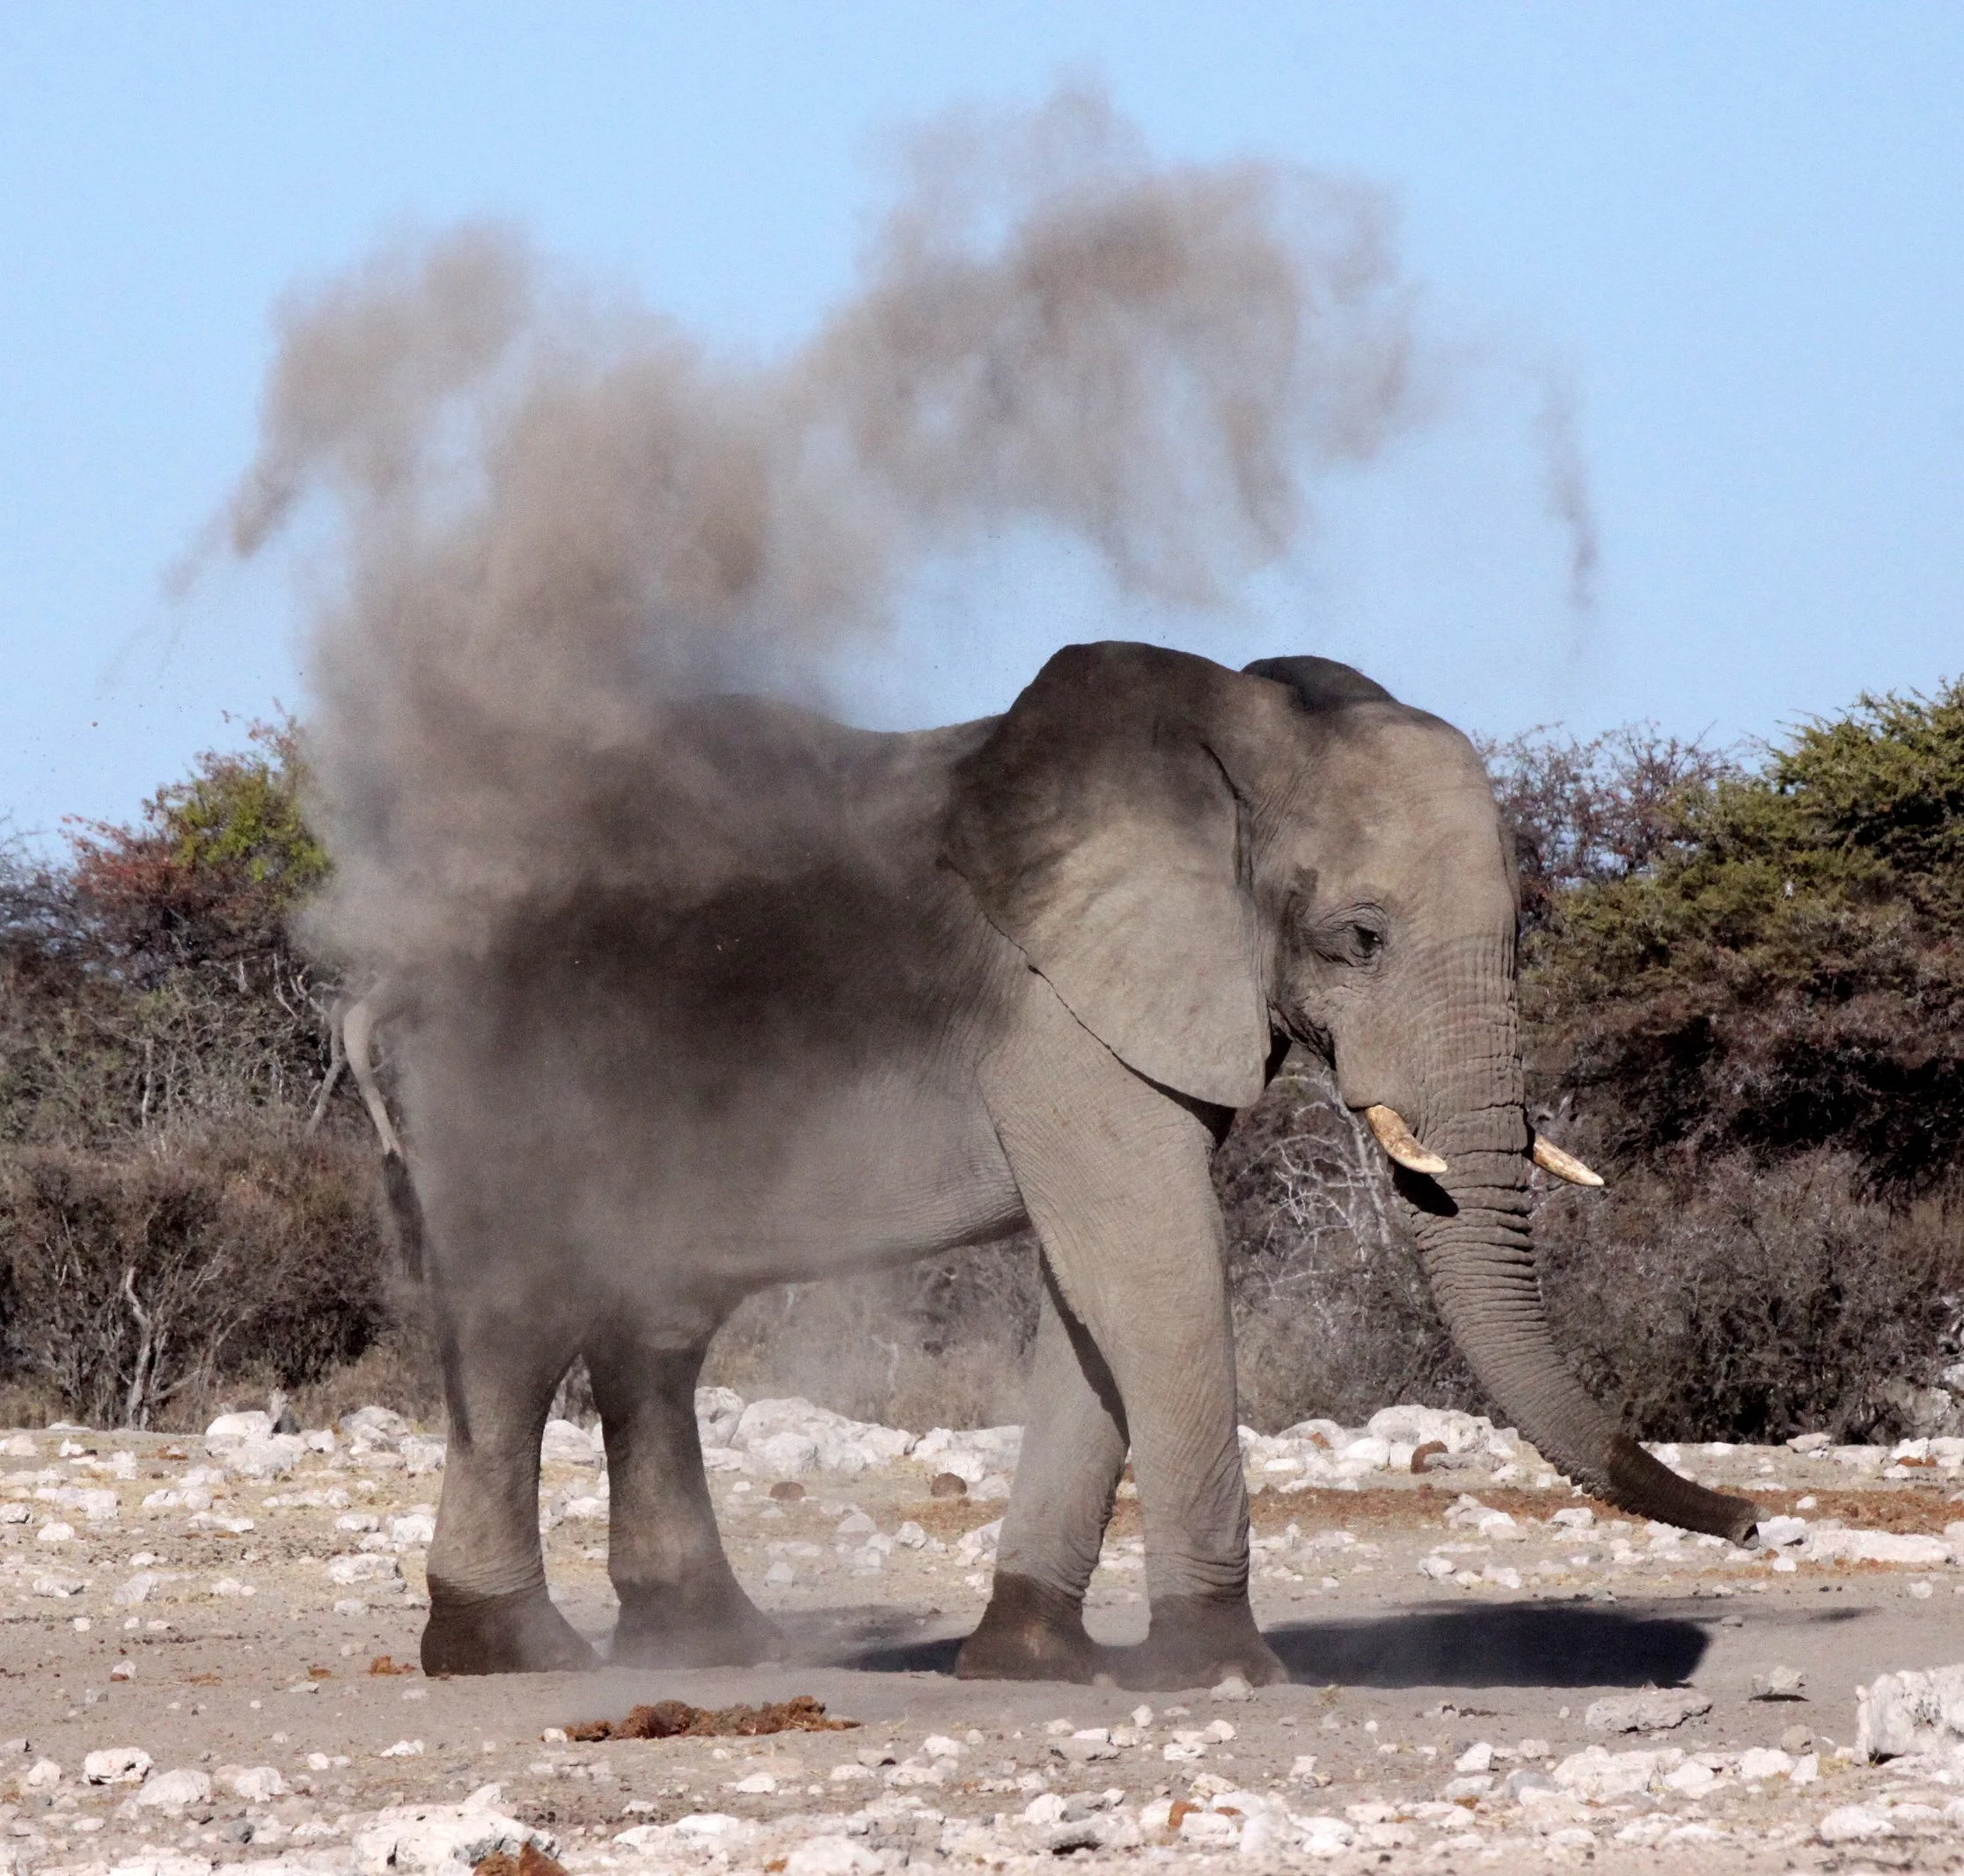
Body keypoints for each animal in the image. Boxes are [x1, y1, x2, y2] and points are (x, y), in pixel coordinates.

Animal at [347, 641, 1761, 1686]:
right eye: (1359, 937)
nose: (1751, 1519)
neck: (1233, 742)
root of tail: (375, 972)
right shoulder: (1058, 1016)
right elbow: (1154, 1271)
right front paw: (1223, 1671)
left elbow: (1093, 1306)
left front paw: (1033, 1661)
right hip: (503, 1092)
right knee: (518, 1321)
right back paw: (513, 1654)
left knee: (654, 1332)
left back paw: (712, 1649)